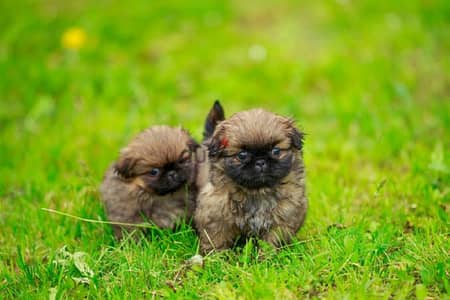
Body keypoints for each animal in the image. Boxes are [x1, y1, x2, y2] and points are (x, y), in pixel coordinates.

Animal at [195, 103, 308, 253]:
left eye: (276, 151)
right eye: (242, 155)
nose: (260, 162)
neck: (257, 191)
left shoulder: (282, 220)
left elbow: (271, 242)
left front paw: (268, 256)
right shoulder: (215, 217)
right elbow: (216, 241)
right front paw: (217, 257)